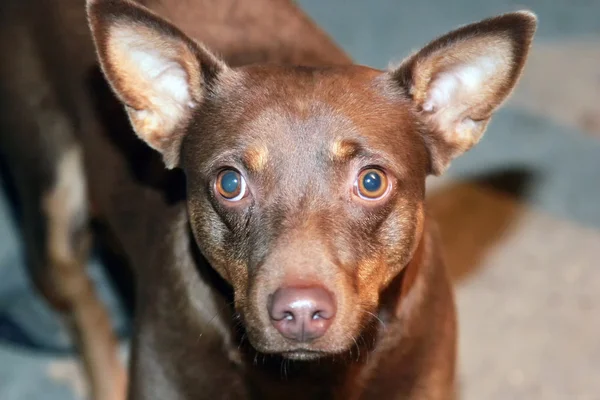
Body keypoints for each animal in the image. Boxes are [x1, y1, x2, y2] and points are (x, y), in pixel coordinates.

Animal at [0, 0, 536, 398]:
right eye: (230, 183)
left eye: (371, 182)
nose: (299, 312)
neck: (306, 381)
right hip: (53, 216)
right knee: (83, 307)